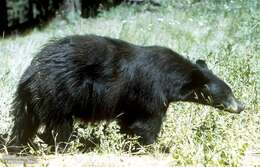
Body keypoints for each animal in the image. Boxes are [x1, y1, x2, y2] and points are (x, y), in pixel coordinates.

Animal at [8, 34, 244, 151]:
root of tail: (31, 71)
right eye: (228, 93)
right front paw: (153, 146)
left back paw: (20, 144)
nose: (242, 106)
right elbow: (147, 123)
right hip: (59, 92)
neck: (171, 77)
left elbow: (129, 121)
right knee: (60, 124)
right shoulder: (151, 89)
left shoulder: (131, 101)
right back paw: (62, 144)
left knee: (24, 121)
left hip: (34, 98)